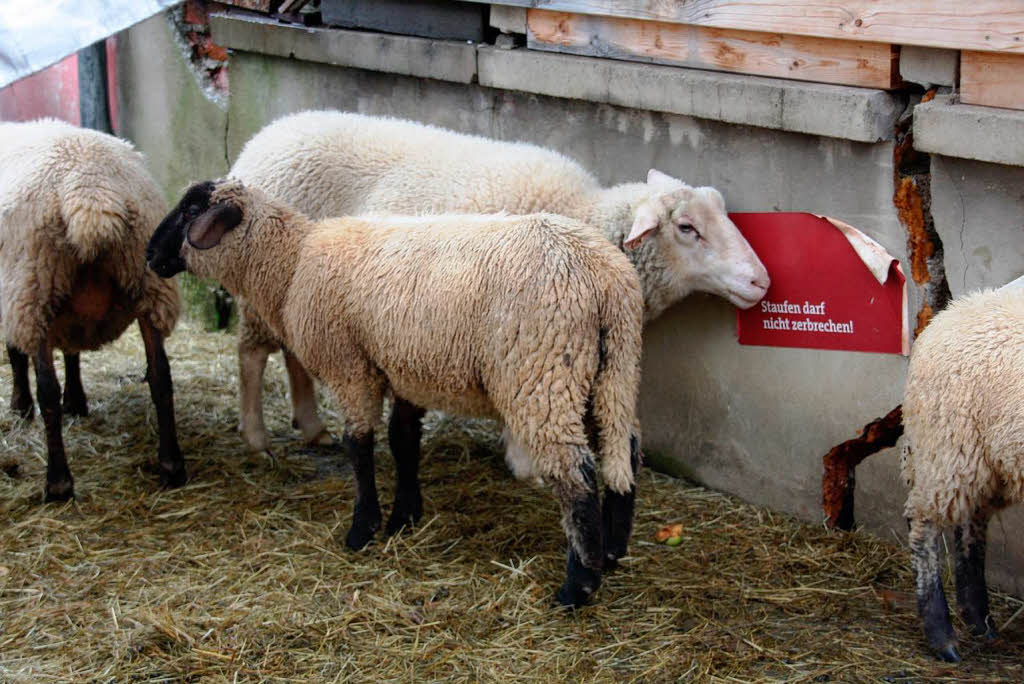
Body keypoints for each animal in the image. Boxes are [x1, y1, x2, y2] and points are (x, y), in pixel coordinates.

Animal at [1, 120, 184, 499]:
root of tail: (90, 192)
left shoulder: (10, 295)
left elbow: (15, 354)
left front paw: (21, 405)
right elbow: (71, 350)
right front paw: (76, 401)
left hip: (33, 287)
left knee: (47, 391)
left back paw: (58, 483)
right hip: (148, 282)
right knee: (160, 376)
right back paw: (172, 466)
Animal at [146, 179, 638, 606]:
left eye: (190, 210)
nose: (149, 255)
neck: (291, 264)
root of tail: (605, 280)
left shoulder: (350, 366)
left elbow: (359, 445)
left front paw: (363, 529)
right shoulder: (404, 369)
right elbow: (404, 442)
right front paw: (405, 518)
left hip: (542, 373)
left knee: (576, 475)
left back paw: (579, 586)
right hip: (612, 373)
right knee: (624, 456)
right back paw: (612, 552)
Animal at [226, 109, 770, 454]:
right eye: (687, 228)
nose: (761, 282)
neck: (584, 213)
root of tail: (263, 138)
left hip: (298, 282)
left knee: (292, 350)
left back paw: (311, 426)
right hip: (263, 280)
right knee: (252, 354)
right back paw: (255, 438)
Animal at [905, 284, 1024, 663]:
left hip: (988, 462)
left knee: (972, 526)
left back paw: (979, 620)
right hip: (948, 447)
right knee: (923, 525)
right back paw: (942, 637)